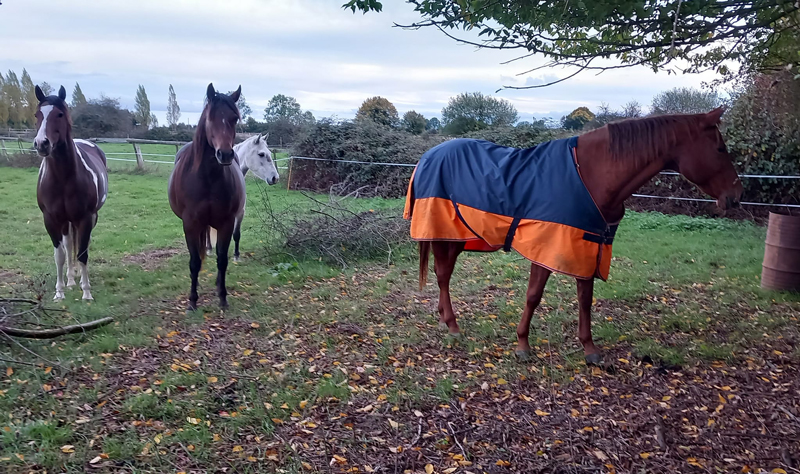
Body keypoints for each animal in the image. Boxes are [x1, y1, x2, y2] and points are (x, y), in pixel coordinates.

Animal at [33, 85, 108, 300]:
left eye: (59, 114)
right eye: (37, 114)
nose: (41, 144)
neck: (63, 178)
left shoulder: (85, 218)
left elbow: (82, 253)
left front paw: (87, 292)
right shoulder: (50, 219)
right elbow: (59, 255)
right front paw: (59, 292)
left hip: (89, 217)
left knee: (83, 245)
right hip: (66, 221)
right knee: (68, 246)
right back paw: (71, 279)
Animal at [168, 84, 244, 312]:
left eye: (234, 118)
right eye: (210, 118)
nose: (225, 154)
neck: (207, 179)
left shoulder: (227, 223)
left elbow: (222, 259)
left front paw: (223, 297)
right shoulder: (190, 223)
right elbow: (194, 261)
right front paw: (192, 301)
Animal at [205, 131, 280, 262]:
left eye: (270, 153)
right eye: (261, 154)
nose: (275, 178)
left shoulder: (240, 213)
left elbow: (236, 234)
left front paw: (236, 256)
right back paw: (208, 249)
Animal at [406, 108, 744, 366]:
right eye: (720, 149)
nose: (736, 196)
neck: (591, 175)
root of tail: (428, 155)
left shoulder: (587, 244)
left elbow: (585, 299)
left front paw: (590, 349)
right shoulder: (547, 245)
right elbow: (534, 296)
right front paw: (523, 346)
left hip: (457, 238)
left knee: (443, 274)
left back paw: (445, 320)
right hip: (445, 233)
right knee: (443, 274)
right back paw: (452, 326)